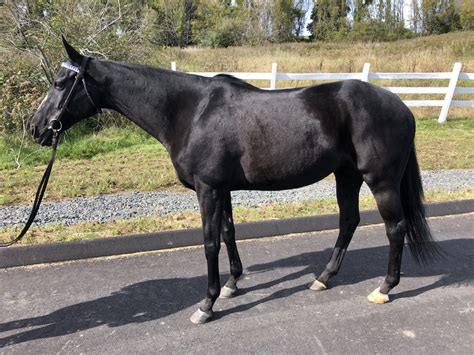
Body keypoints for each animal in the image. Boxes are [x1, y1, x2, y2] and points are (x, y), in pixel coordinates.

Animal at [29, 39, 436, 326]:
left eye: (60, 82)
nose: (35, 128)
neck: (190, 111)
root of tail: (401, 106)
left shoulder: (208, 188)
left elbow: (210, 243)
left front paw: (207, 304)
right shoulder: (221, 188)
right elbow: (228, 233)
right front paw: (232, 284)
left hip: (379, 180)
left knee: (395, 227)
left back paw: (384, 288)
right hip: (347, 176)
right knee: (348, 221)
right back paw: (323, 277)